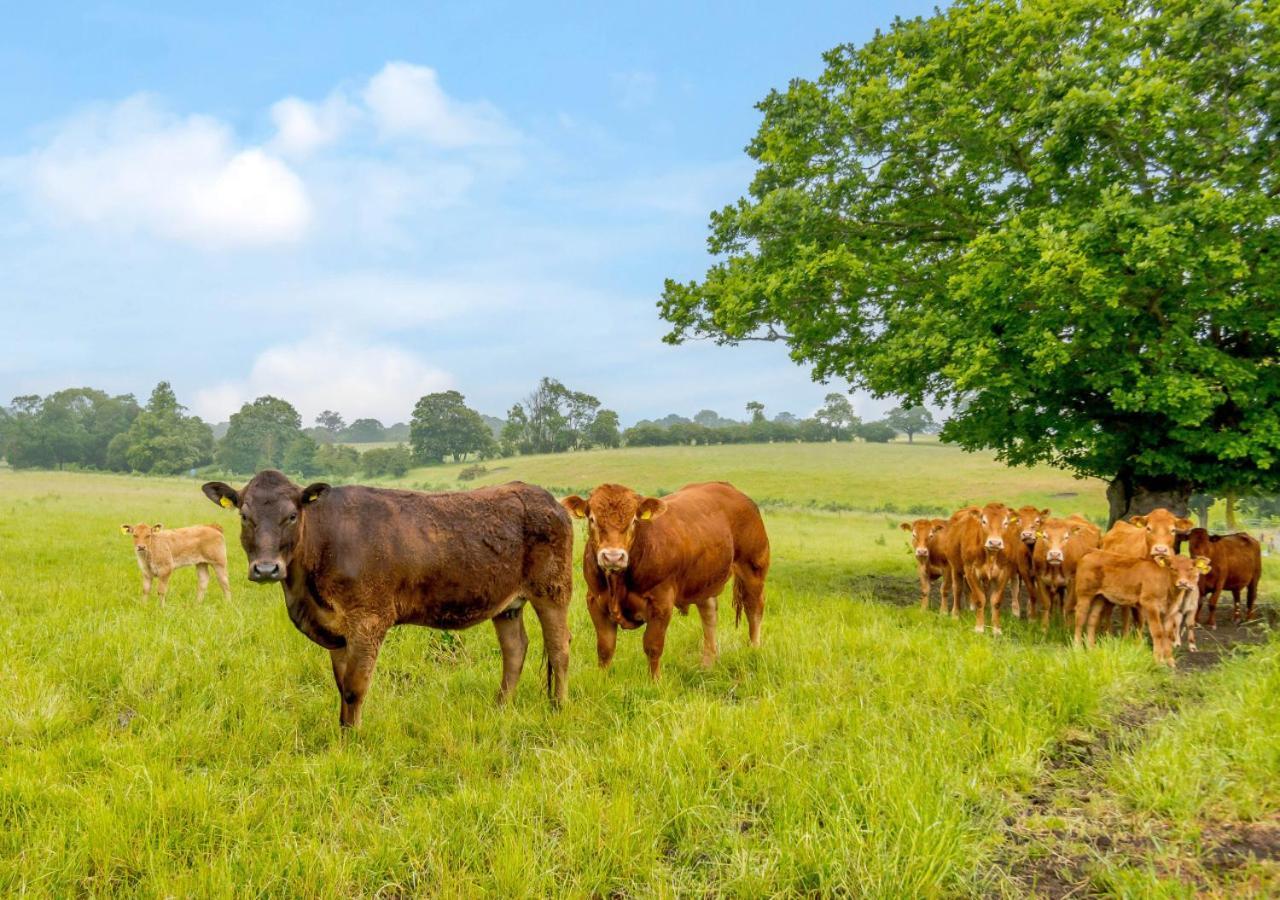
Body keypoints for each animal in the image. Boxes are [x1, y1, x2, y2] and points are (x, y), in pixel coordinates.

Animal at [202, 471, 573, 727]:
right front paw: (343, 731)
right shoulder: (337, 630)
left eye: (292, 516)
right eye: (244, 516)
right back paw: (501, 706)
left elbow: (355, 687)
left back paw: (558, 708)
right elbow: (341, 685)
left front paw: (352, 741)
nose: (266, 568)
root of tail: (545, 497)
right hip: (507, 605)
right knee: (515, 649)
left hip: (554, 590)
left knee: (559, 648)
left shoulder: (368, 620)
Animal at [563, 481, 768, 681]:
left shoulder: (661, 603)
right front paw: (602, 681)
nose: (613, 557)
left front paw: (655, 681)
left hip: (753, 568)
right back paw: (707, 664)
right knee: (709, 616)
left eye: (634, 520)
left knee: (754, 609)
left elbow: (653, 646)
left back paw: (754, 650)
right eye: (592, 519)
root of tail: (732, 490)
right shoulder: (595, 601)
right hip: (704, 581)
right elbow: (605, 648)